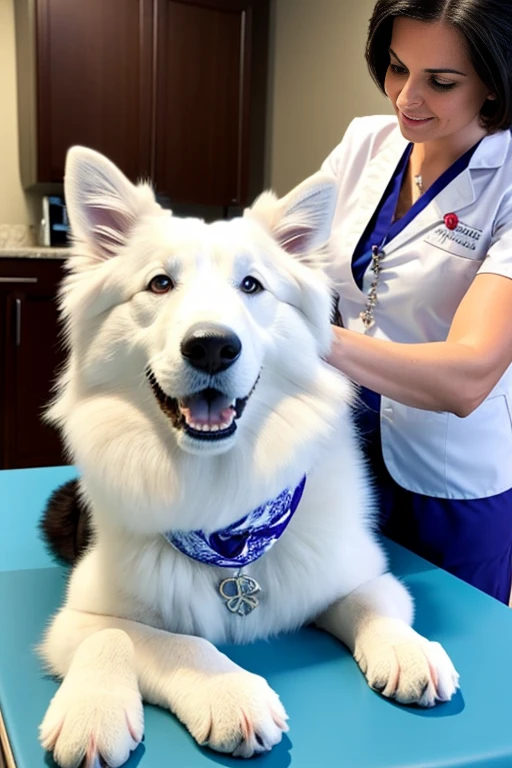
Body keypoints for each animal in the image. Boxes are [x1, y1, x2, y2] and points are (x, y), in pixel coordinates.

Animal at [38, 147, 458, 764]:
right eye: (159, 283)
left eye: (252, 285)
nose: (212, 346)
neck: (222, 501)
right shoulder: (77, 617)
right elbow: (139, 635)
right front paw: (212, 694)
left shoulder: (355, 571)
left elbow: (372, 599)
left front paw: (406, 649)